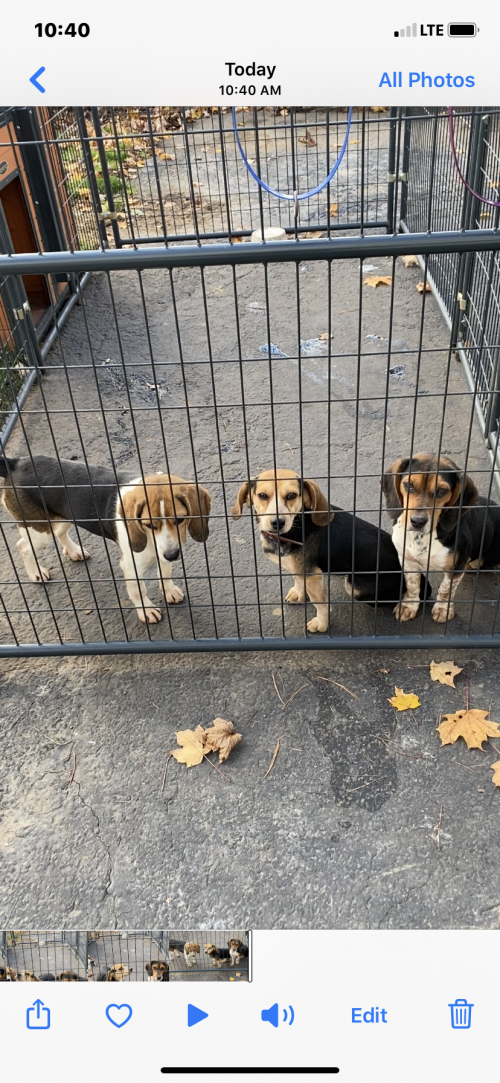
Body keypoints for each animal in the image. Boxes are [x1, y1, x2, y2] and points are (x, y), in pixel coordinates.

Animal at [0, 455, 211, 625]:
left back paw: (74, 551)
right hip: (39, 530)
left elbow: (165, 573)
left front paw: (169, 591)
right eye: (149, 525)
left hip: (66, 516)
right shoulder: (131, 566)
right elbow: (138, 590)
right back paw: (36, 573)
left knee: (60, 533)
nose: (173, 555)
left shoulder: (164, 551)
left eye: (180, 519)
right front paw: (146, 610)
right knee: (23, 546)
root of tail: (15, 463)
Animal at [232, 468, 429, 632]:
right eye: (262, 495)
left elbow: (320, 604)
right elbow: (297, 579)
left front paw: (321, 624)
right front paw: (298, 593)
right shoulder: (301, 568)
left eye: (291, 495)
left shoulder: (313, 576)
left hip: (356, 587)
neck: (296, 526)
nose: (277, 522)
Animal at [382, 453, 500, 622]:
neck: (422, 537)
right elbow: (412, 586)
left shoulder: (455, 568)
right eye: (408, 485)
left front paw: (443, 609)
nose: (417, 522)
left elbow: (446, 590)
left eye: (442, 490)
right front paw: (409, 606)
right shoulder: (407, 560)